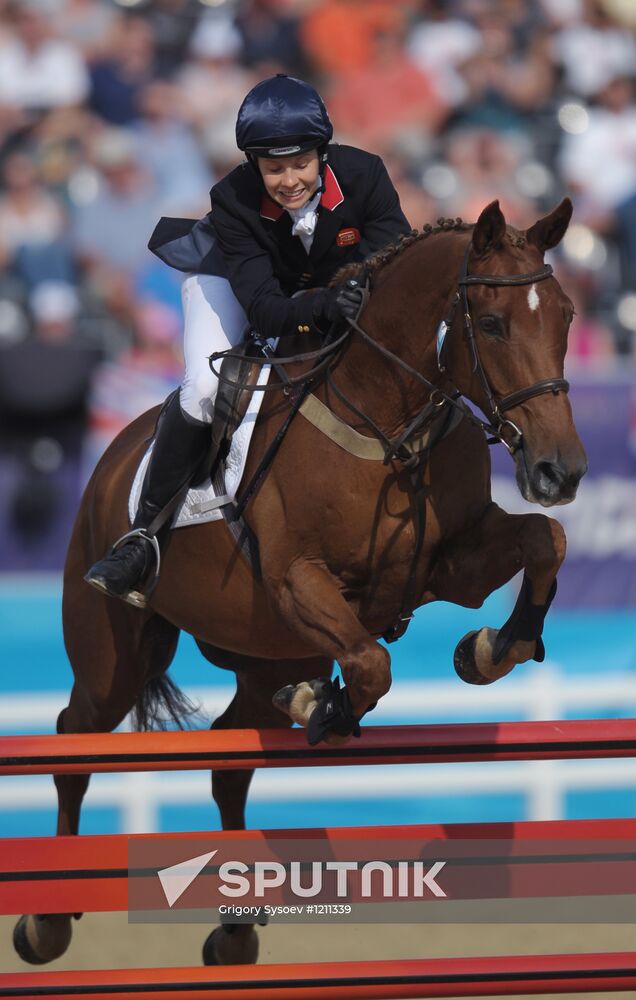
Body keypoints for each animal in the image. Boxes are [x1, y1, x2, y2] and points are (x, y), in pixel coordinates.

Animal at [13, 199, 588, 964]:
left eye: (566, 316)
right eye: (491, 324)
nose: (561, 471)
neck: (389, 422)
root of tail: (114, 454)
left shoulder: (449, 565)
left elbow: (544, 540)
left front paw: (494, 647)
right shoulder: (296, 582)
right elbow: (372, 664)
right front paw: (329, 707)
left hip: (265, 658)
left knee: (229, 756)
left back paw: (234, 927)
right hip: (115, 654)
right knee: (75, 737)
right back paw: (47, 920)